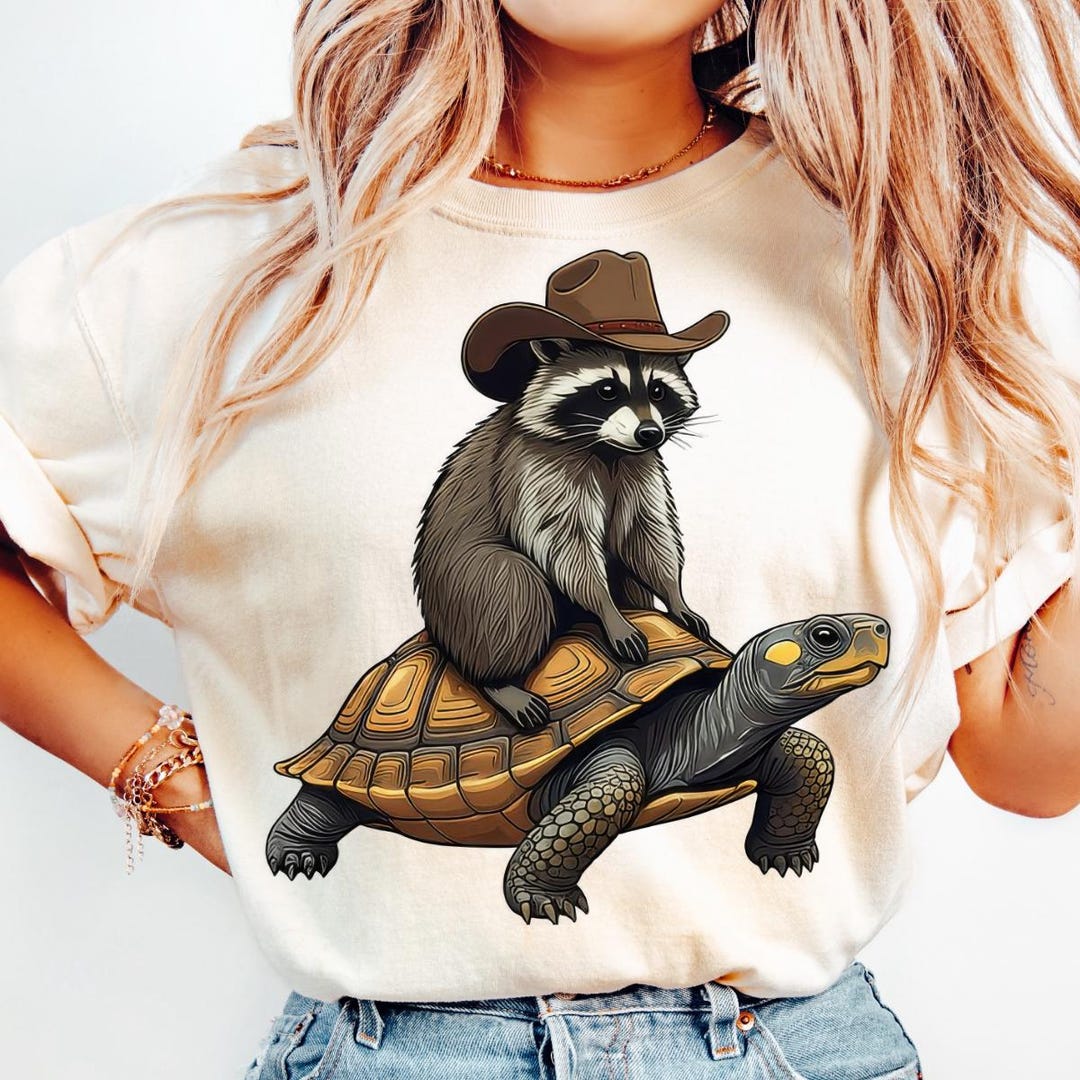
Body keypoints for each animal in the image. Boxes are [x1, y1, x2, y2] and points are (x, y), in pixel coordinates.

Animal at [412, 336, 712, 732]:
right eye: (607, 390)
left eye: (658, 390)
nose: (650, 433)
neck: (607, 449)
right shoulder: (535, 466)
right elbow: (566, 544)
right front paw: (607, 610)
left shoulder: (640, 466)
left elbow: (644, 535)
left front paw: (675, 597)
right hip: (462, 592)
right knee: (511, 581)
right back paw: (496, 681)